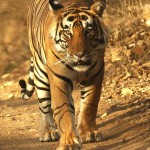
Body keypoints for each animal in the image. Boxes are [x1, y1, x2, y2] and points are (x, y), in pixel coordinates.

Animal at [19, 0, 106, 149]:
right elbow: (64, 110)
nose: (79, 54)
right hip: (40, 71)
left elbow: (89, 105)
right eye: (67, 33)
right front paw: (69, 142)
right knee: (44, 105)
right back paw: (48, 131)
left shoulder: (95, 75)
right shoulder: (59, 79)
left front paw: (88, 133)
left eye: (88, 31)